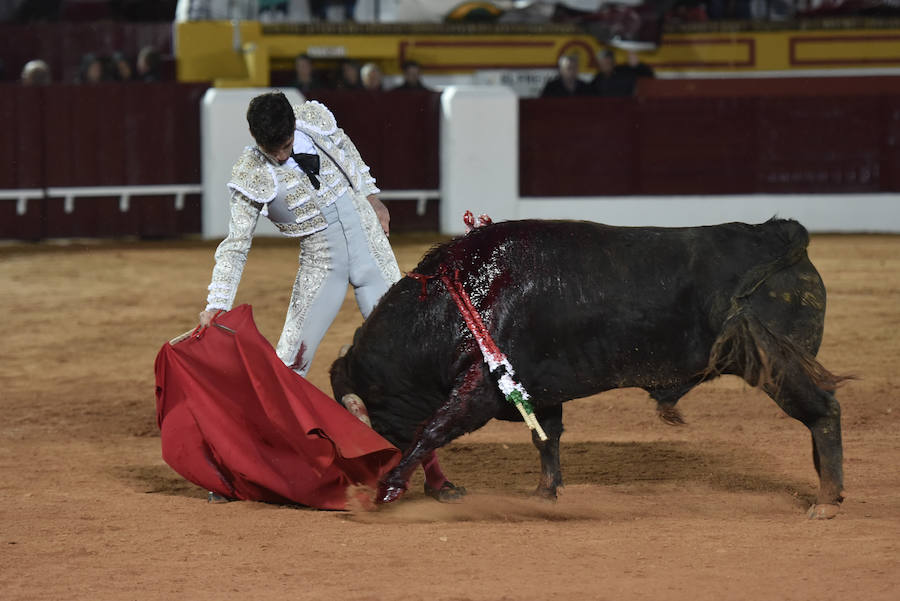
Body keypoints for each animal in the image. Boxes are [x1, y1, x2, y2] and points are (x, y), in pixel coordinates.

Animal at [332, 218, 852, 516]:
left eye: (368, 427)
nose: (356, 479)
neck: (454, 303)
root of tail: (778, 233)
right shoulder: (536, 390)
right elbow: (547, 439)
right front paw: (546, 493)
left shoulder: (481, 388)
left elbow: (435, 428)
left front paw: (389, 488)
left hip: (774, 360)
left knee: (823, 411)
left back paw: (826, 501)